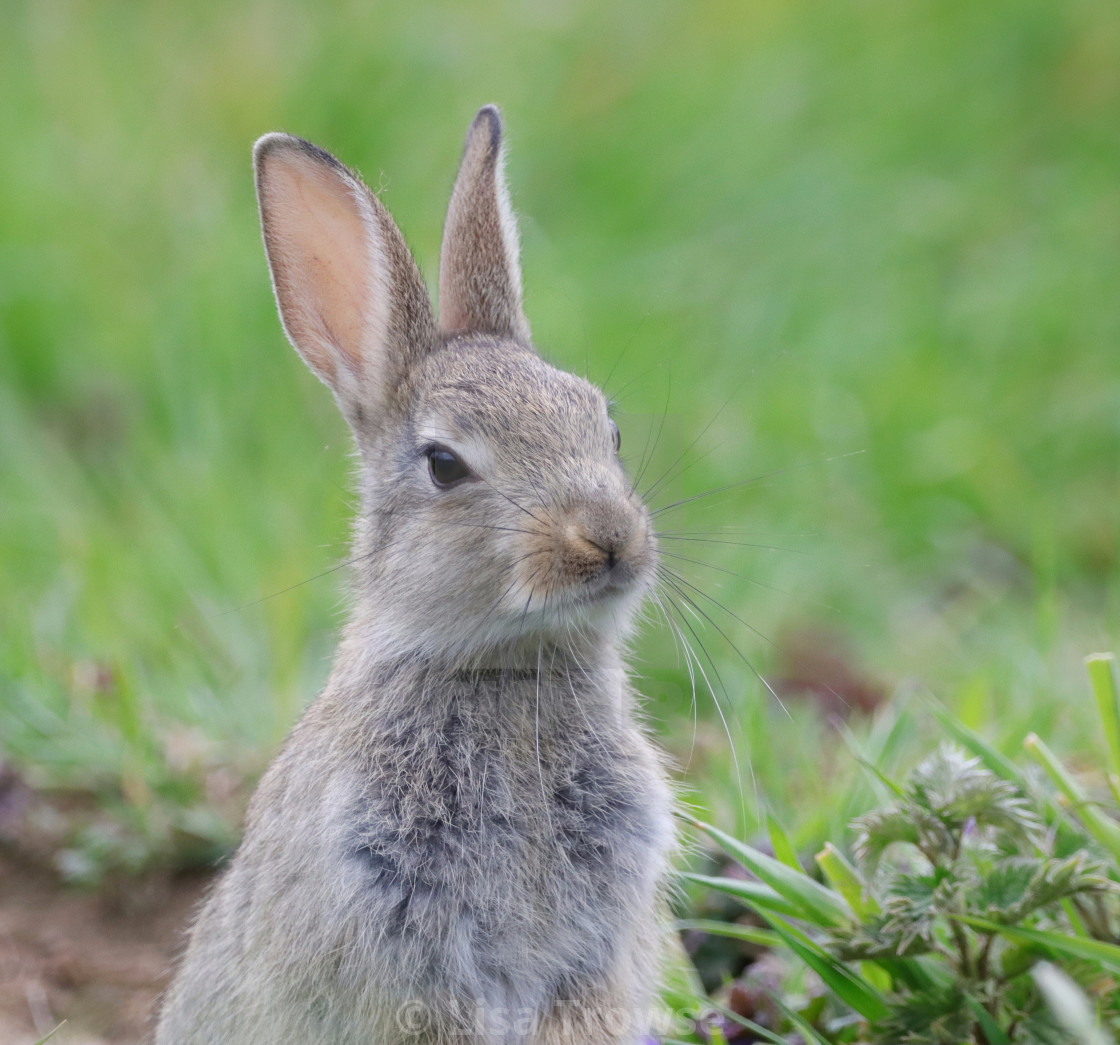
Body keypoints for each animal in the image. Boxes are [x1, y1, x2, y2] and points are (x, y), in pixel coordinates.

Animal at [155, 108, 672, 1043]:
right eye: (443, 464)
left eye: (605, 427)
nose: (609, 540)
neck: (507, 669)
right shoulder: (397, 946)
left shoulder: (597, 950)